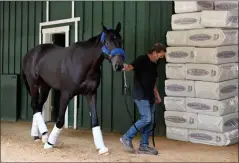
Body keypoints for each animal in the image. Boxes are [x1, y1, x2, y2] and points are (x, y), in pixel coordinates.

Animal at [21, 22, 125, 155]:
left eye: (120, 41)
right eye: (106, 42)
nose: (119, 65)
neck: (83, 63)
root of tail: (29, 54)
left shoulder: (91, 93)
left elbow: (95, 120)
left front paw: (102, 148)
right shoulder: (66, 94)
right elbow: (60, 120)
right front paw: (50, 144)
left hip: (45, 86)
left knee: (37, 107)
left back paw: (38, 136)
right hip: (33, 84)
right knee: (34, 105)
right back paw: (44, 135)